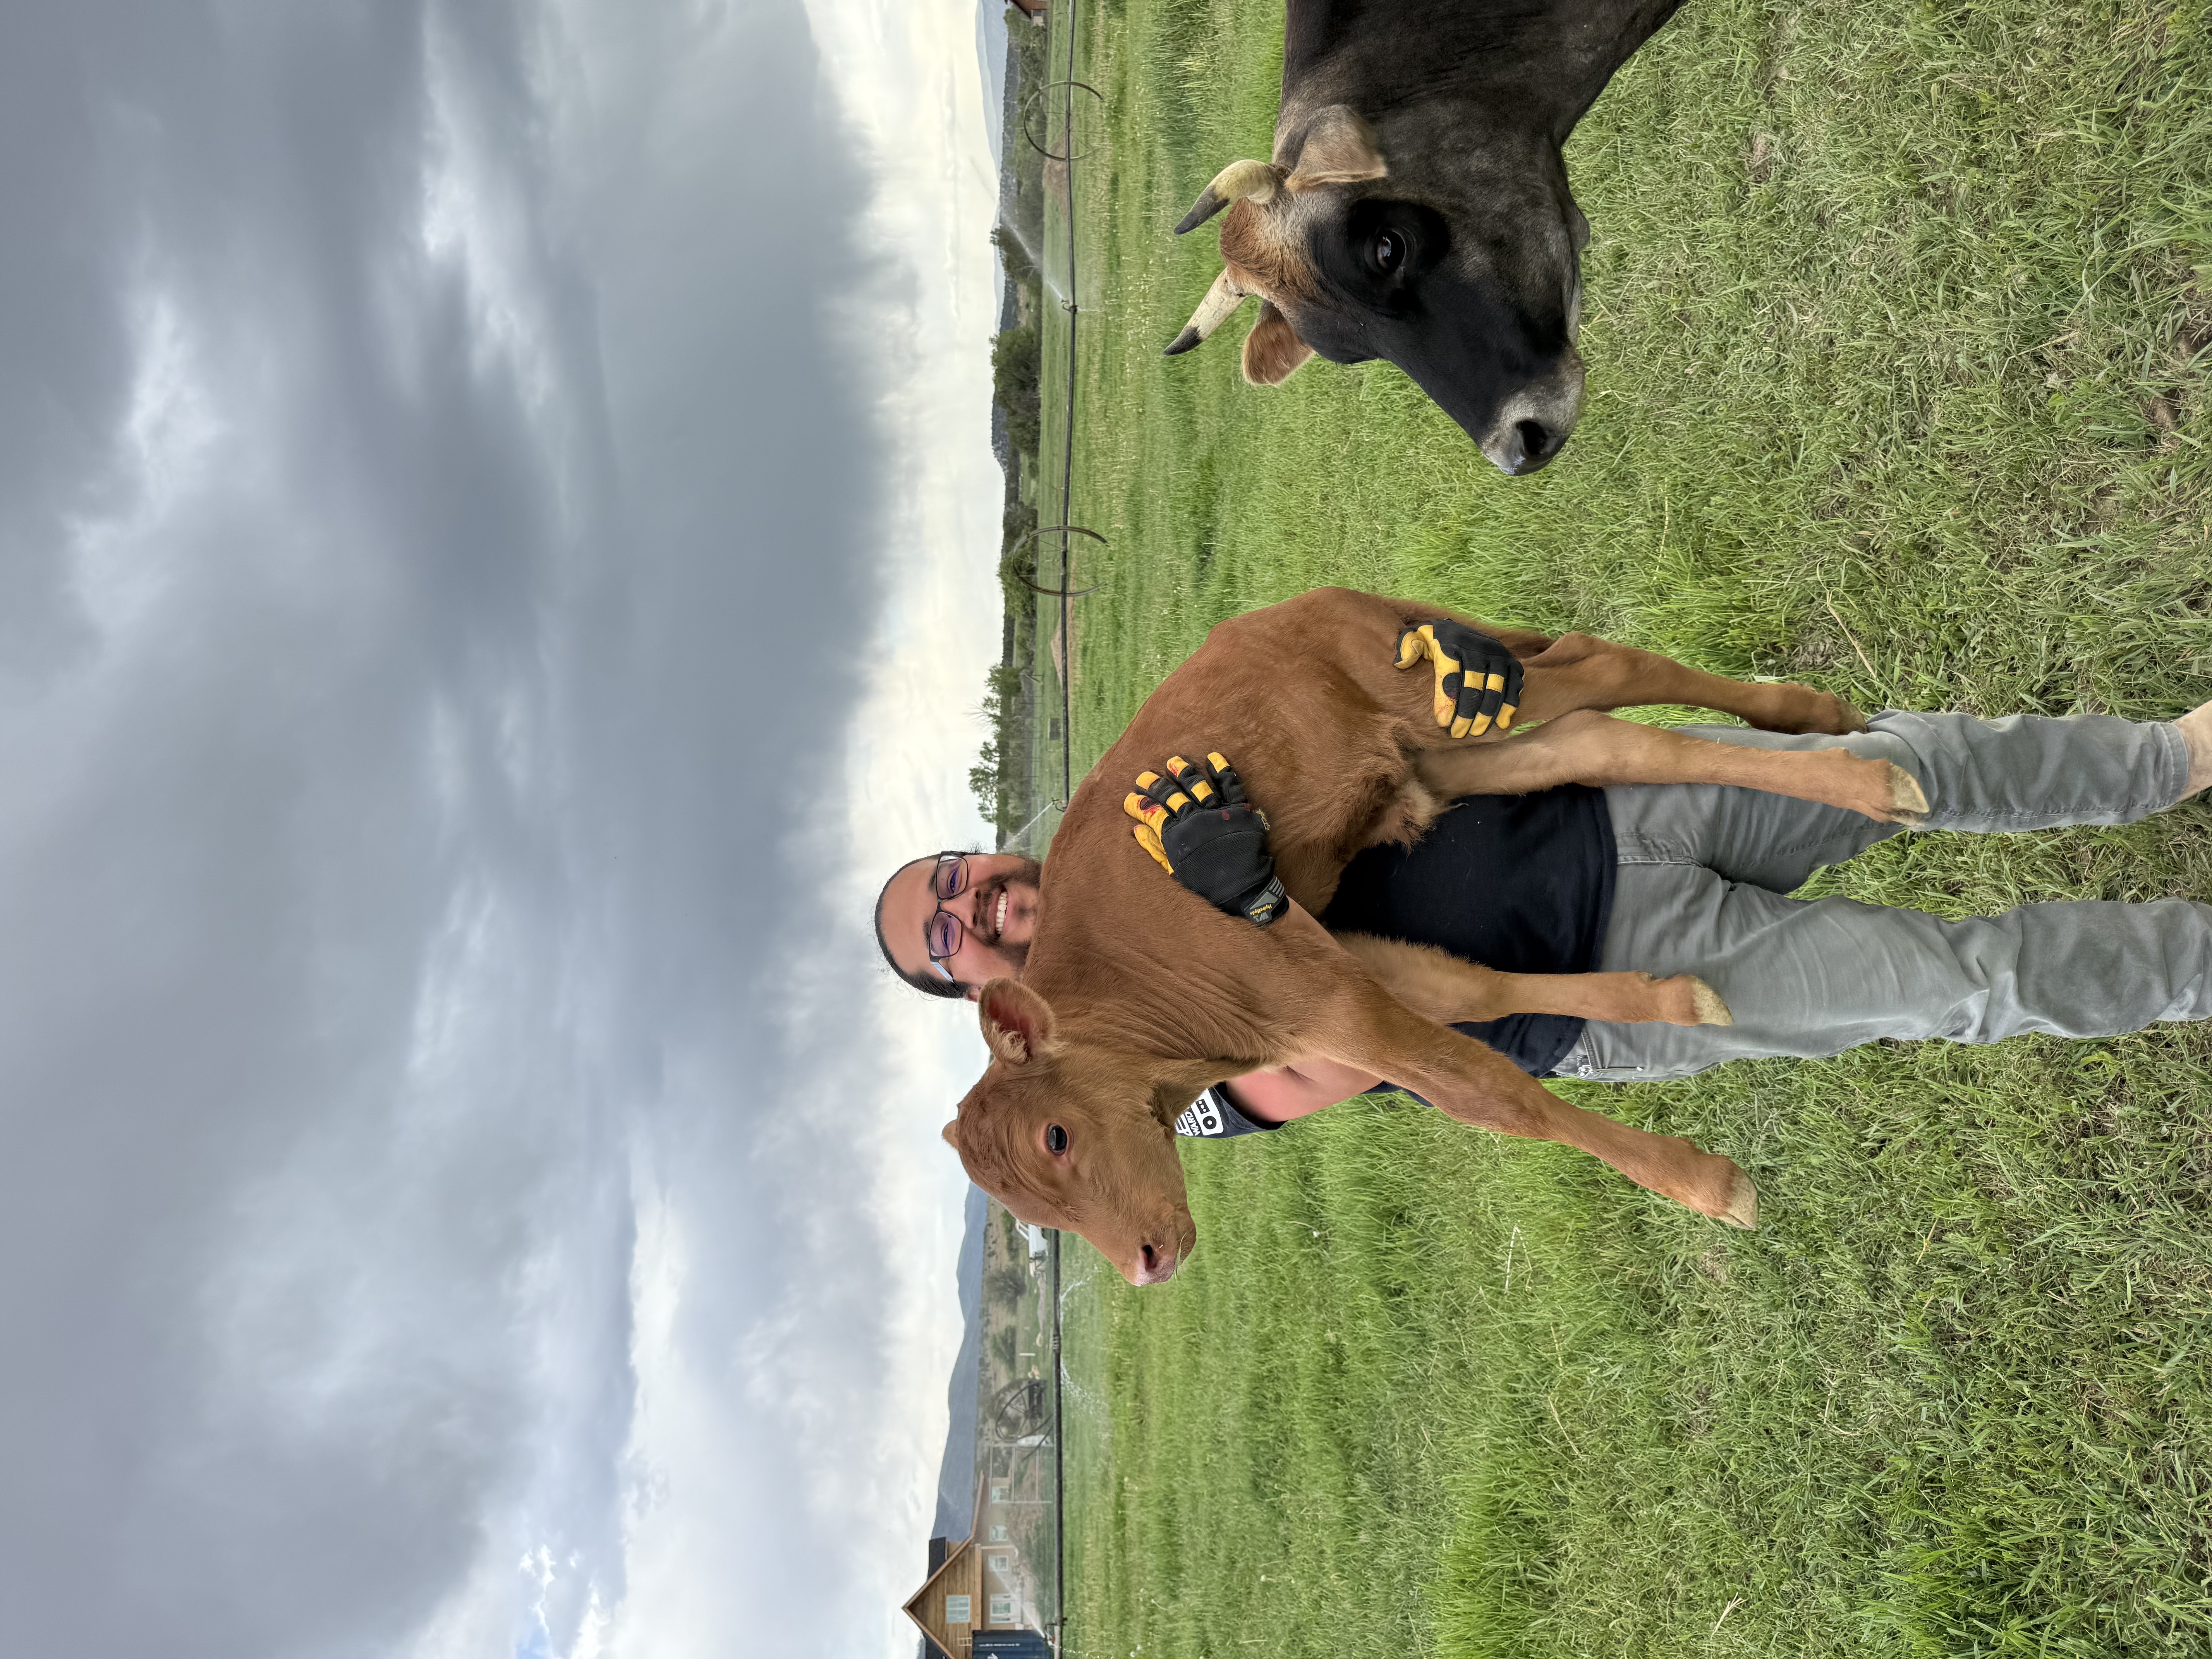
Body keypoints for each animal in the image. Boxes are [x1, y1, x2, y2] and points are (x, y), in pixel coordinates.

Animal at [941, 588, 1926, 1285]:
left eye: (1055, 1139)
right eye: (1035, 1216)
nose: (1145, 1266)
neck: (1131, 995)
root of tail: (1276, 612)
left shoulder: (1325, 998)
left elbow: (1489, 1096)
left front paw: (1705, 1186)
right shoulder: (1343, 955)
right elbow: (1469, 988)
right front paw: (1669, 998)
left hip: (1432, 697)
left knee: (1597, 666)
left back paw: (1865, 777)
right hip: (1434, 754)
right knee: (1598, 736)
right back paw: (1816, 721)